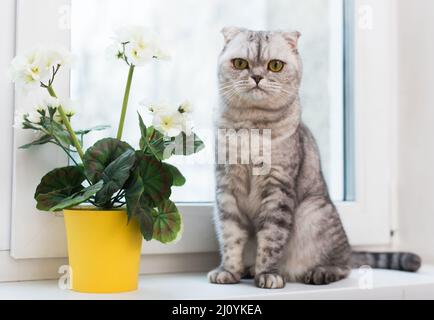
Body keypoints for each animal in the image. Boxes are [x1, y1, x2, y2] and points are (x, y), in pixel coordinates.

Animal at [209, 26, 422, 288]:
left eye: (275, 66)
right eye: (240, 63)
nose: (257, 77)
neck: (252, 126)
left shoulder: (278, 189)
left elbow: (271, 239)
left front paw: (267, 273)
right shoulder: (226, 190)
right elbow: (230, 237)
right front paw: (228, 271)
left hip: (313, 215)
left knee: (344, 265)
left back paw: (320, 272)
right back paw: (248, 269)